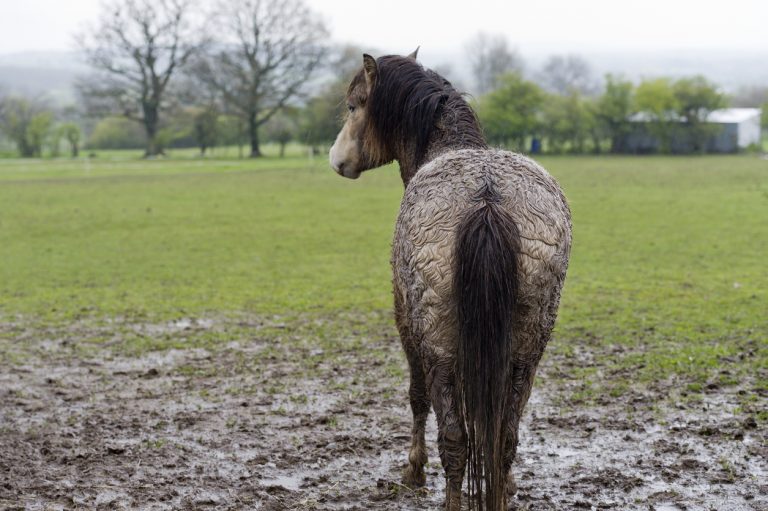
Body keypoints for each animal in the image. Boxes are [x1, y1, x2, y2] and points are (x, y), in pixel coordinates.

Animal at [328, 51, 568, 511]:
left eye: (353, 105)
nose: (336, 159)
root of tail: (487, 200)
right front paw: (508, 483)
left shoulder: (405, 320)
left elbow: (417, 397)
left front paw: (414, 469)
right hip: (526, 352)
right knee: (504, 436)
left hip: (439, 345)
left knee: (454, 438)